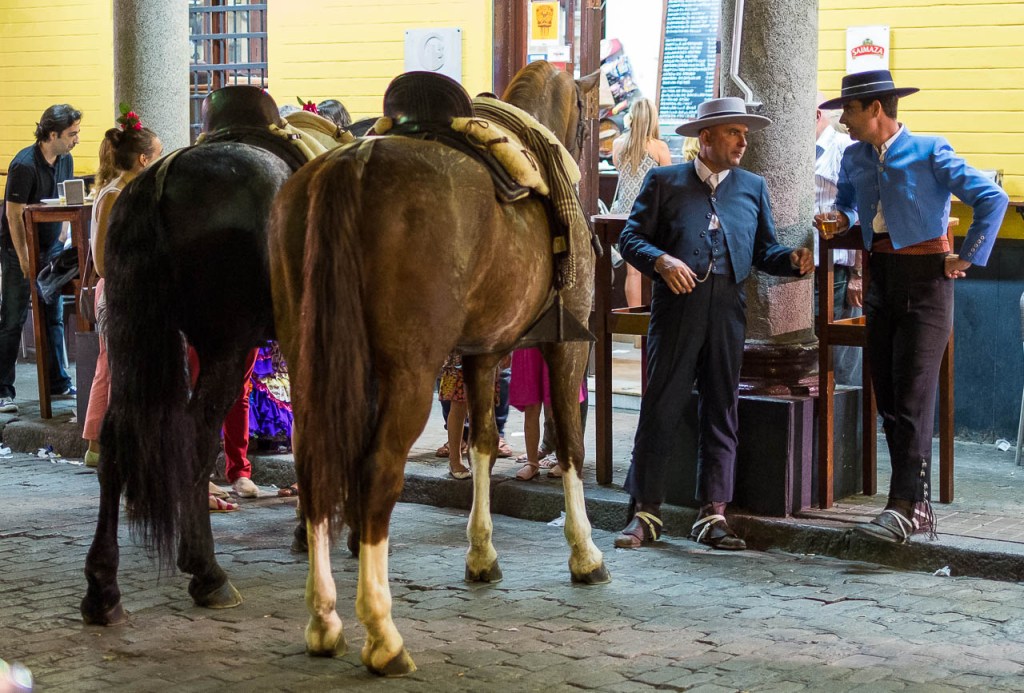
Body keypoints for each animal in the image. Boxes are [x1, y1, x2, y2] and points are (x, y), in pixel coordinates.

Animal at [80, 87, 348, 625]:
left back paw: (103, 586)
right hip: (227, 343)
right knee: (197, 436)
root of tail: (157, 180)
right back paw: (206, 572)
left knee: (117, 436)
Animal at [268, 61, 607, 676]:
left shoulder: (483, 353)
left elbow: (483, 442)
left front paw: (481, 552)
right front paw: (584, 552)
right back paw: (382, 635)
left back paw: (325, 620)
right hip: (409, 372)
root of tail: (353, 163)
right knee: (378, 471)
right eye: (591, 122)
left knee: (315, 465)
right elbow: (569, 440)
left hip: (314, 360)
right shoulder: (567, 345)